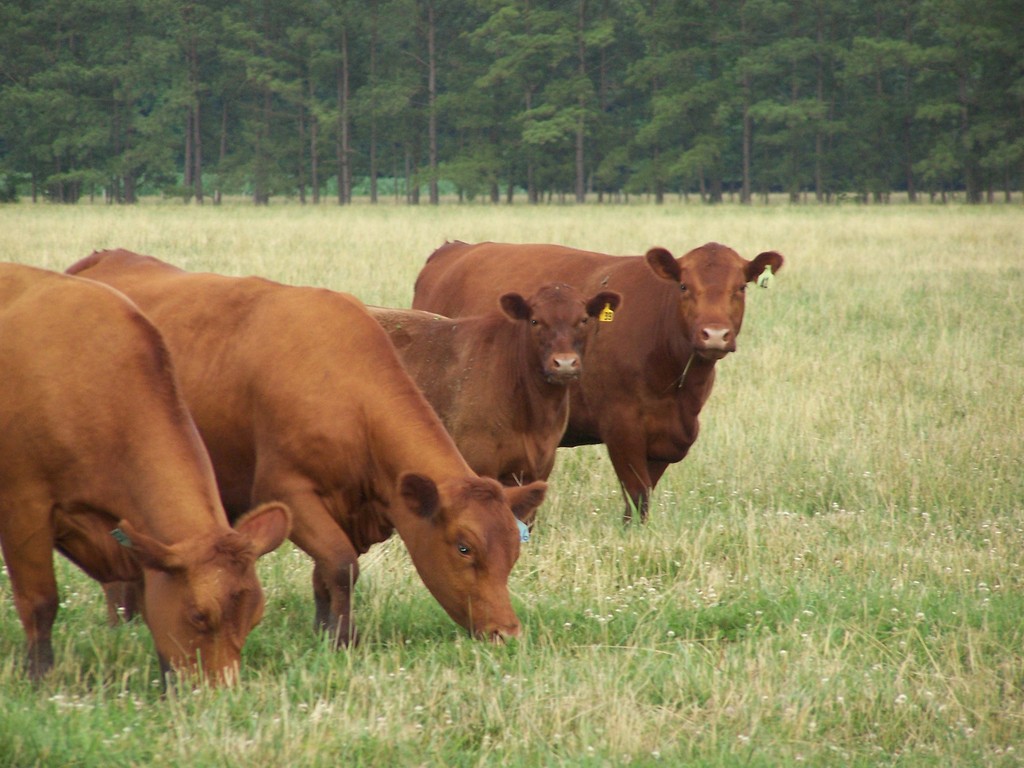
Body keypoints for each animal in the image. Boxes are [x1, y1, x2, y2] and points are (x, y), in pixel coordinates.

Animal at [0, 264, 290, 684]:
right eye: (199, 615)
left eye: (255, 617)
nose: (222, 691)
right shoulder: (24, 505)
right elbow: (40, 602)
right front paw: (40, 678)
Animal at [65, 249, 548, 647]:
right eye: (464, 547)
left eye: (514, 550)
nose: (507, 633)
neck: (346, 390)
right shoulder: (286, 492)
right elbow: (340, 564)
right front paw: (343, 638)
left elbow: (326, 573)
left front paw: (324, 631)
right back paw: (122, 621)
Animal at [411, 243, 778, 528]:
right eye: (684, 286)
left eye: (741, 287)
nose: (714, 334)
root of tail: (454, 249)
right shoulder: (623, 428)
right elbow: (636, 498)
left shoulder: (666, 439)